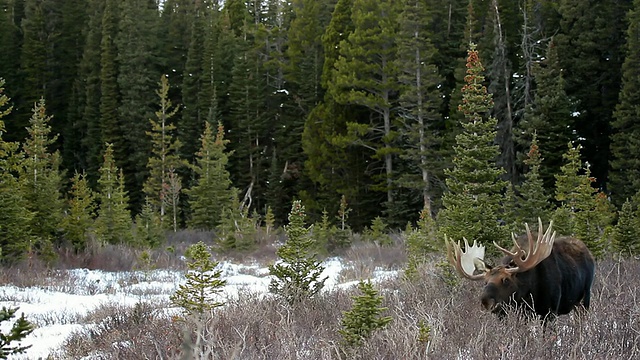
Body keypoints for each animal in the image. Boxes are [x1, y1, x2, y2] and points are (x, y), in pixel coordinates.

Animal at [444, 218, 596, 320]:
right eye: (485, 282)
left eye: (505, 280)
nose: (486, 302)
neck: (528, 292)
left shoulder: (549, 311)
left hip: (584, 300)